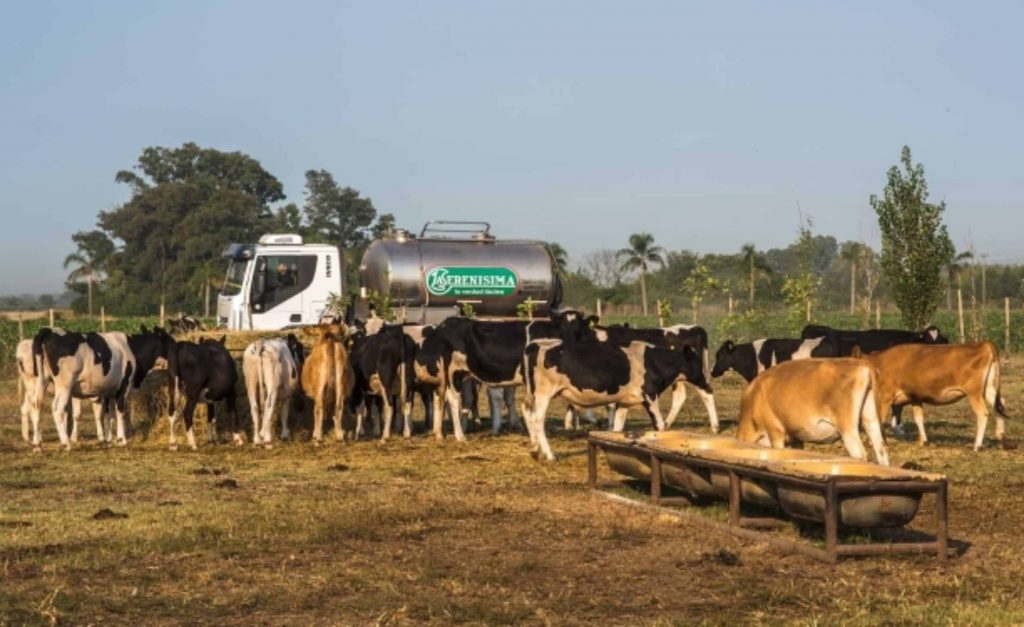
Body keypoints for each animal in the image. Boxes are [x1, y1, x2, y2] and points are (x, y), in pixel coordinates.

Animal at [524, 340, 708, 458]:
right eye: (698, 364)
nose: (707, 383)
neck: (654, 361)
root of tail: (536, 345)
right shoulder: (650, 396)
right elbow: (660, 426)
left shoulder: (624, 402)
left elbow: (618, 429)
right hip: (543, 394)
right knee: (537, 419)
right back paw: (549, 454)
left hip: (532, 394)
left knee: (528, 413)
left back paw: (534, 449)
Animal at [737, 358, 888, 465]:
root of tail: (862, 363)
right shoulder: (796, 439)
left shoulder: (775, 432)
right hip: (871, 420)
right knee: (882, 452)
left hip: (848, 428)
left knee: (860, 454)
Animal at [864, 342, 1007, 450]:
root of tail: (983, 344)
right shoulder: (915, 397)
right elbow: (918, 418)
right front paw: (922, 440)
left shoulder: (884, 397)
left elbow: (880, 418)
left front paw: (874, 442)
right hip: (989, 389)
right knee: (1000, 405)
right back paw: (1000, 435)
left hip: (974, 393)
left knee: (983, 413)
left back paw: (977, 445)